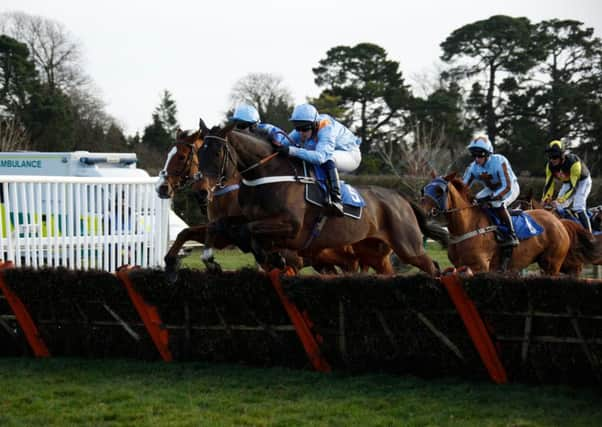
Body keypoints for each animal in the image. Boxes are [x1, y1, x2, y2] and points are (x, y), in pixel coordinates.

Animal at [193, 121, 446, 278]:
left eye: (217, 152)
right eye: (198, 153)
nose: (201, 192)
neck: (267, 174)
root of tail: (401, 198)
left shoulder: (291, 225)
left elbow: (250, 232)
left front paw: (274, 258)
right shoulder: (246, 217)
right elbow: (219, 225)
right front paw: (210, 259)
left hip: (408, 246)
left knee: (432, 266)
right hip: (373, 252)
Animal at [418, 173, 576, 276]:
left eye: (439, 191)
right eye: (424, 189)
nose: (421, 211)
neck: (467, 226)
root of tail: (558, 221)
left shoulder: (479, 267)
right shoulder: (459, 265)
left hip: (552, 265)